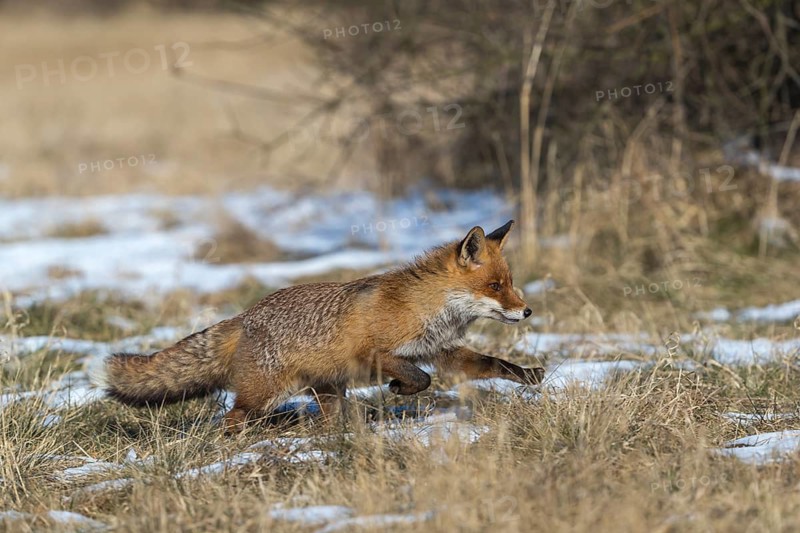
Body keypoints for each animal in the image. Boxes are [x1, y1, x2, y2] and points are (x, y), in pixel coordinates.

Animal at [94, 220, 545, 431]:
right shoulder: (375, 353)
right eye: (495, 286)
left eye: (509, 283)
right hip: (266, 395)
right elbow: (420, 378)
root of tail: (245, 315)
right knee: (233, 417)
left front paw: (529, 375)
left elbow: (491, 364)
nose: (526, 312)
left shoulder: (443, 350)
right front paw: (399, 388)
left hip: (327, 391)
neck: (426, 308)